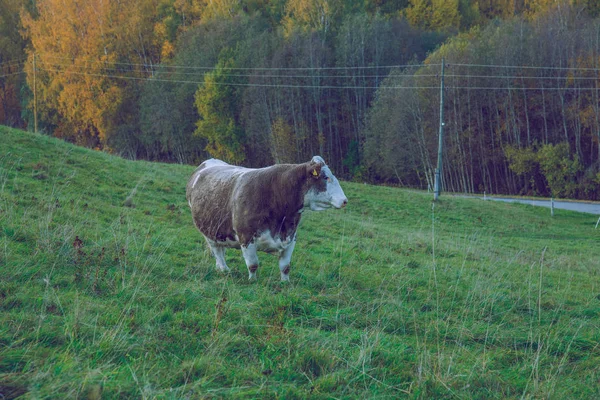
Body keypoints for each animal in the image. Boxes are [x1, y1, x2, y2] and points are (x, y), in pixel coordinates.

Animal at [186, 156, 346, 282]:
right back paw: (224, 269)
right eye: (326, 177)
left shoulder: (291, 237)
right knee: (217, 251)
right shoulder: (246, 237)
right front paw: (253, 281)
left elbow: (285, 266)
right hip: (208, 232)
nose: (345, 200)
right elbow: (253, 264)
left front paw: (285, 283)